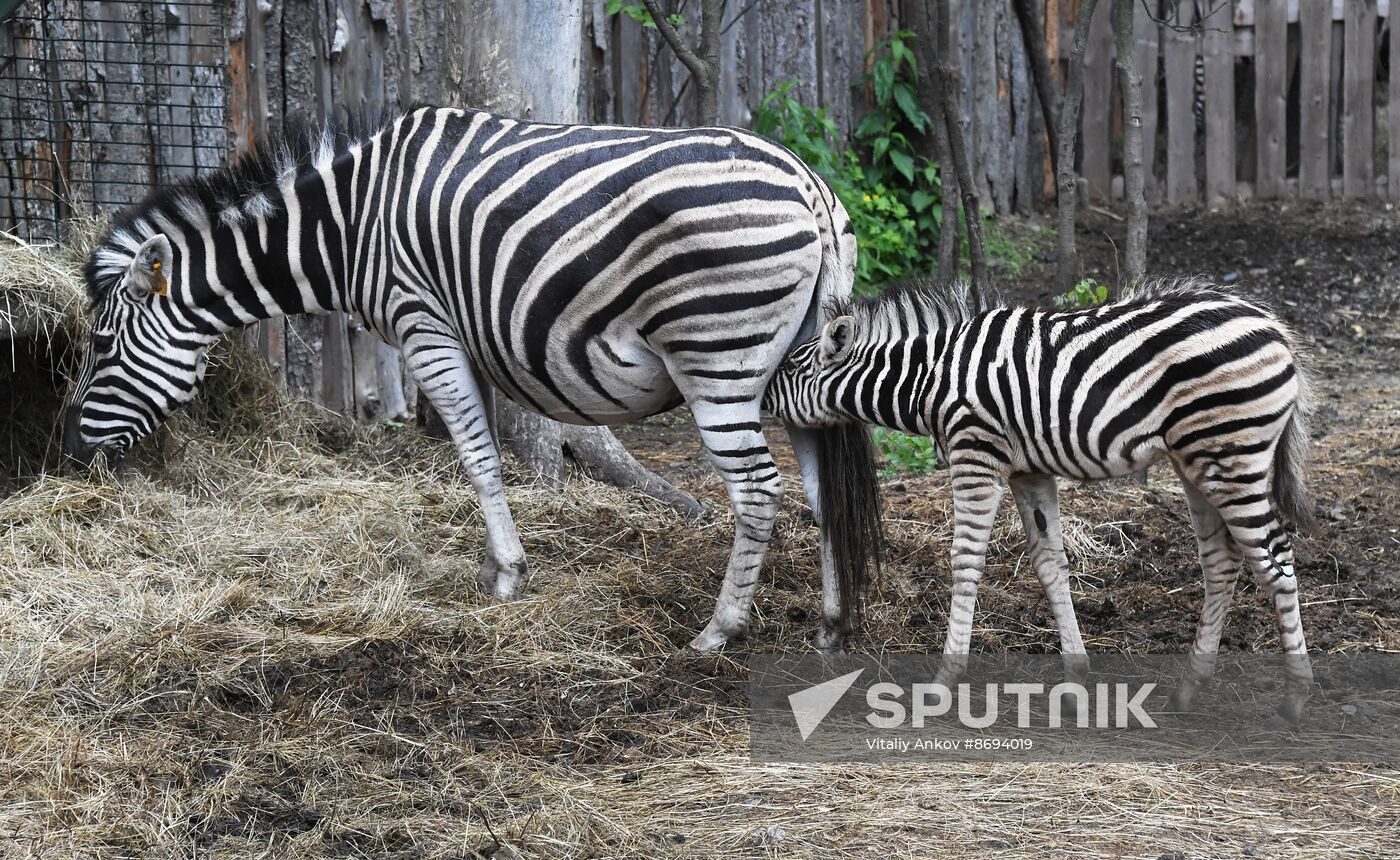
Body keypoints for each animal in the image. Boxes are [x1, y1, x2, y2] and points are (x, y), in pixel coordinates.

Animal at [65, 104, 879, 649]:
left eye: (101, 344)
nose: (72, 451)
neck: (347, 226)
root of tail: (807, 183)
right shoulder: (470, 333)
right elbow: (484, 451)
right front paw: (497, 564)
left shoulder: (421, 322)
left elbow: (477, 458)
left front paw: (508, 575)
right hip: (797, 366)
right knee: (820, 493)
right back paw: (834, 625)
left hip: (716, 354)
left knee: (759, 490)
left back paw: (720, 629)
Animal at [772, 281, 1316, 728]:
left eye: (792, 367)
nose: (757, 393)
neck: (932, 378)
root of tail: (1274, 326)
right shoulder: (1029, 470)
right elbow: (1049, 562)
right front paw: (1075, 678)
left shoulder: (977, 455)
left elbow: (965, 561)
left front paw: (944, 681)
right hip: (1196, 462)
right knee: (1222, 561)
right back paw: (1189, 688)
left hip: (1232, 455)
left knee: (1276, 562)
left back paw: (1294, 699)